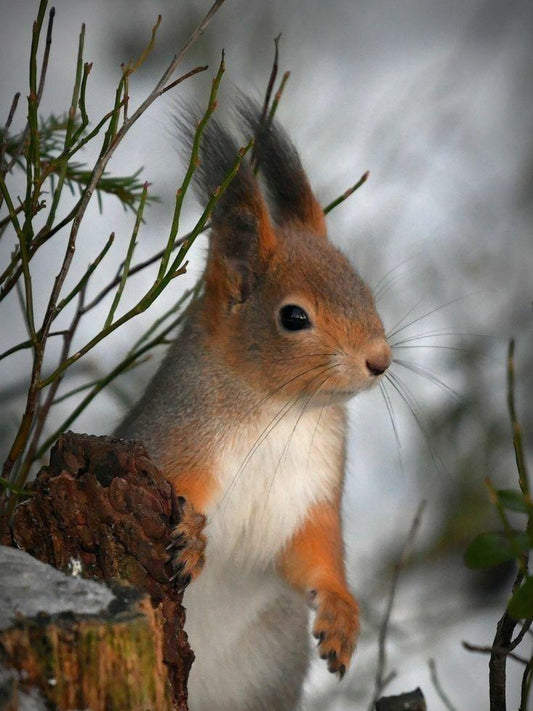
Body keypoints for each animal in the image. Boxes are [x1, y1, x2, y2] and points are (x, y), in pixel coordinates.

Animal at [115, 99, 391, 711]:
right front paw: (193, 542)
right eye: (294, 317)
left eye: (363, 288)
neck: (279, 414)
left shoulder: (311, 496)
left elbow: (316, 555)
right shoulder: (173, 444)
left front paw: (342, 618)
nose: (380, 360)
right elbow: (183, 495)